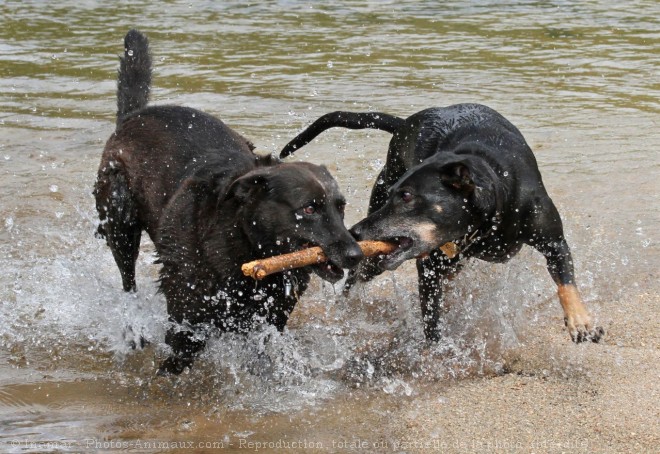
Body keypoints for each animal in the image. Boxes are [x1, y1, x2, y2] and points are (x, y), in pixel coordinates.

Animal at [94, 30, 360, 374]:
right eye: (309, 208)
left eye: (341, 207)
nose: (356, 254)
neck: (245, 244)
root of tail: (132, 117)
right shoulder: (187, 313)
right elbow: (178, 354)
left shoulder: (270, 316)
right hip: (119, 221)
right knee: (128, 283)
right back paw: (132, 332)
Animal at [278, 103, 604, 344]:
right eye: (394, 193)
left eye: (407, 196)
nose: (355, 232)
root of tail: (405, 124)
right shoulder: (430, 266)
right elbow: (431, 316)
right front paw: (437, 351)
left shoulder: (553, 242)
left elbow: (566, 282)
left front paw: (581, 322)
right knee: (354, 282)